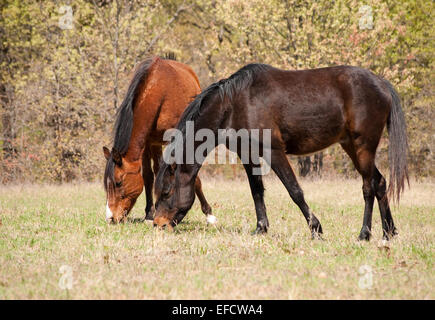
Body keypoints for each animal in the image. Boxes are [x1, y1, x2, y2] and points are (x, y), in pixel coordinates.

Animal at [104, 55, 216, 225]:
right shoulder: (146, 142)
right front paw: (150, 214)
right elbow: (148, 176)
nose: (110, 217)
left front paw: (209, 214)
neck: (157, 91)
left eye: (118, 183)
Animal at [152, 62, 408, 240]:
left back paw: (364, 234)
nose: (158, 224)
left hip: (363, 147)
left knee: (368, 187)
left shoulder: (273, 152)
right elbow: (256, 191)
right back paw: (389, 232)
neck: (235, 103)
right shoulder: (248, 154)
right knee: (380, 182)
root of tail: (382, 84)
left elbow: (294, 191)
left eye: (166, 192)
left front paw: (315, 229)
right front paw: (261, 228)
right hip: (352, 147)